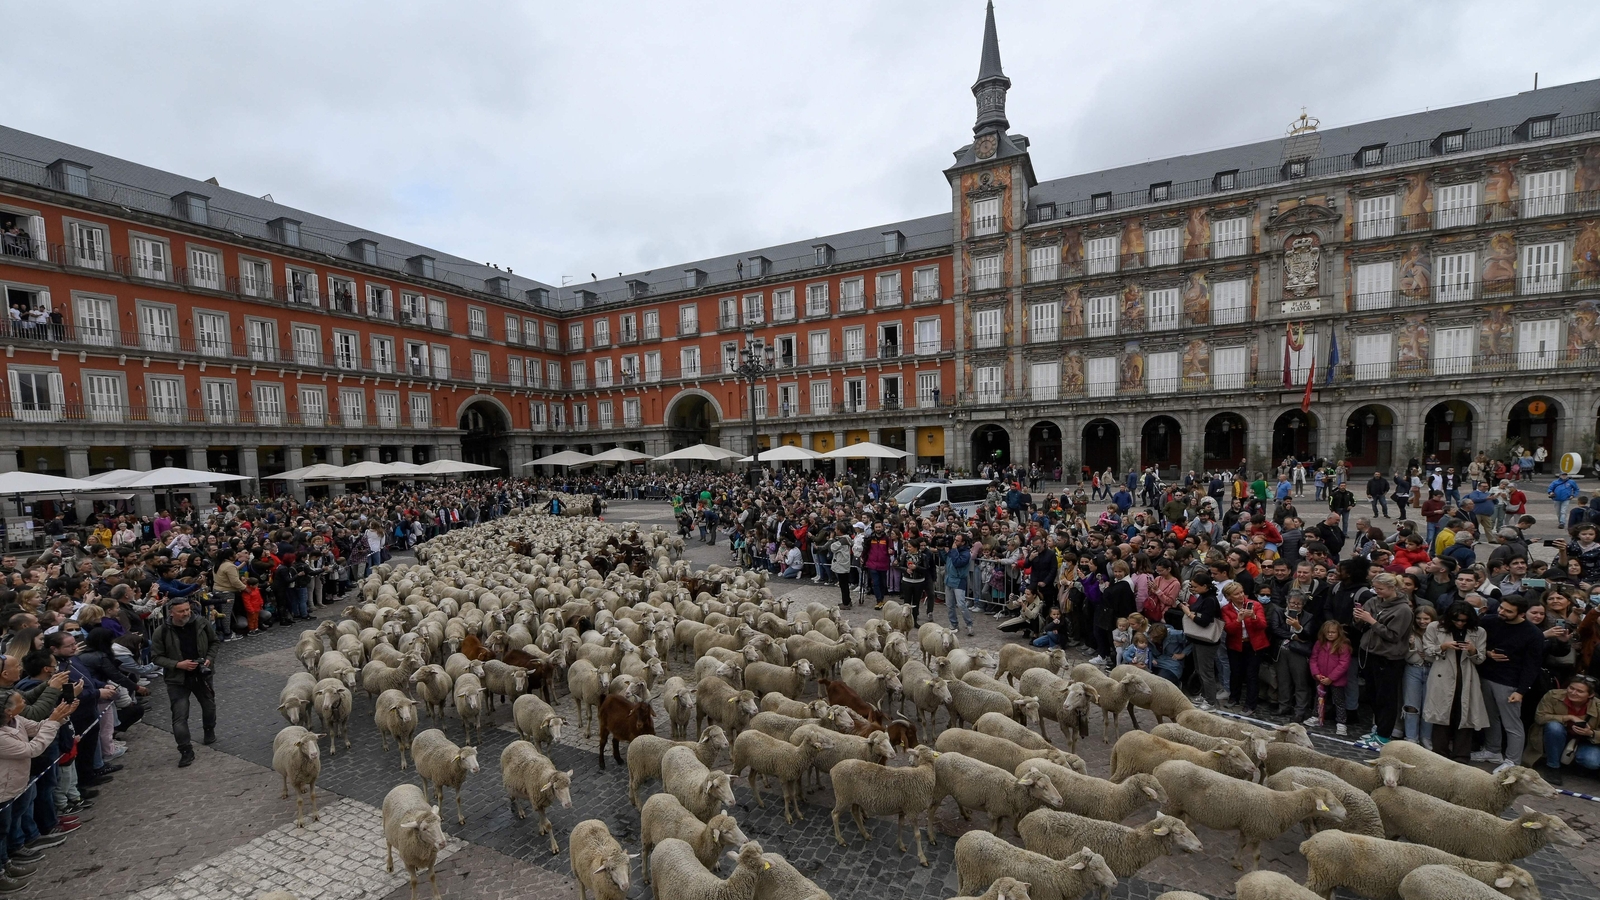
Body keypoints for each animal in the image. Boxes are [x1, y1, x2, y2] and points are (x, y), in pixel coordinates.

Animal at [947, 832, 1113, 896]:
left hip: (964, 874)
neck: (1060, 877)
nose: (1115, 882)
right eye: (1095, 868)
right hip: (972, 877)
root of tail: (962, 839)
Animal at [1158, 755, 1344, 871]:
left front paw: (1236, 862)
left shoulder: (1246, 828)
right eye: (1330, 804)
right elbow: (1256, 855)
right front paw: (1253, 872)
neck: (1281, 804)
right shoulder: (1257, 830)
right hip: (1171, 803)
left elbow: (1241, 845)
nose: (1345, 813)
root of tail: (1161, 767)